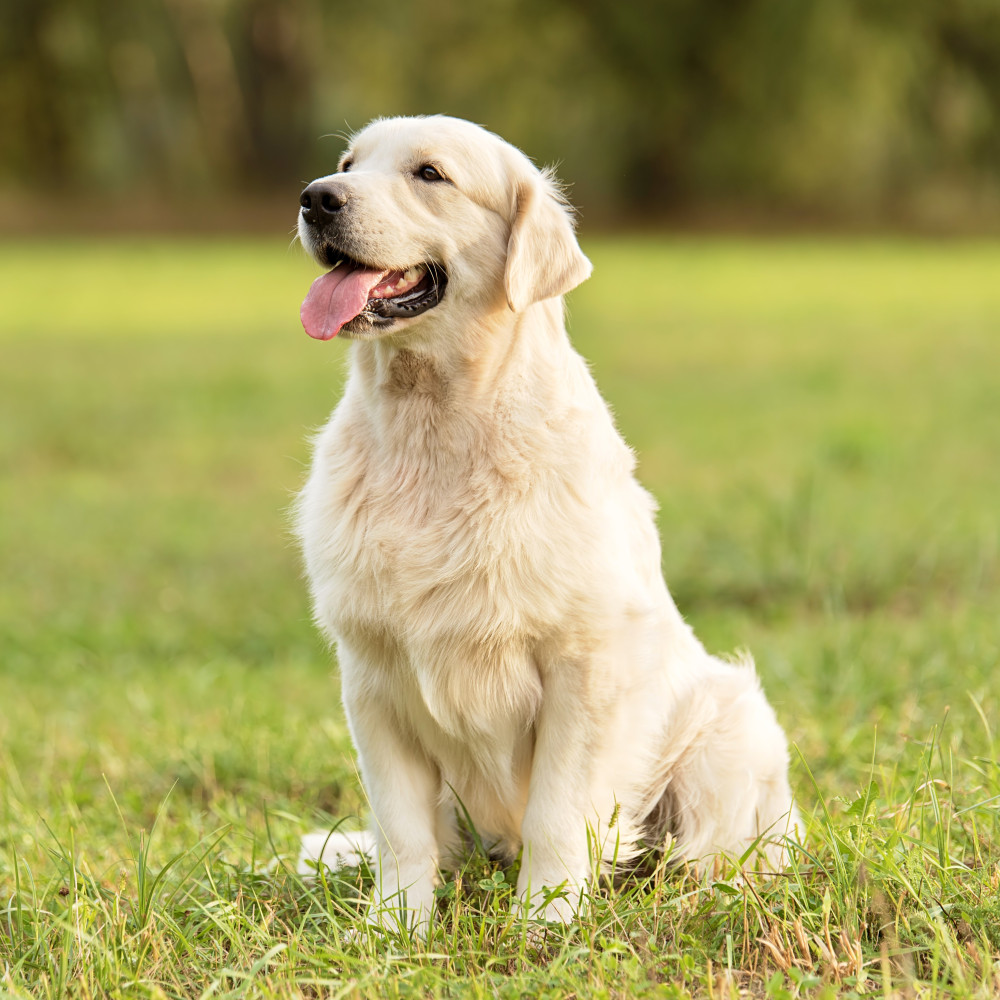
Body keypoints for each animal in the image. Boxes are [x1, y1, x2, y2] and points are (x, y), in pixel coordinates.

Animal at [292, 115, 800, 928]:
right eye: (346, 163)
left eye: (429, 174)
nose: (316, 198)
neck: (433, 430)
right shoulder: (372, 674)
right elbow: (401, 829)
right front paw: (396, 928)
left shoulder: (584, 666)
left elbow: (558, 813)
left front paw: (546, 921)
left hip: (731, 726)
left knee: (719, 854)